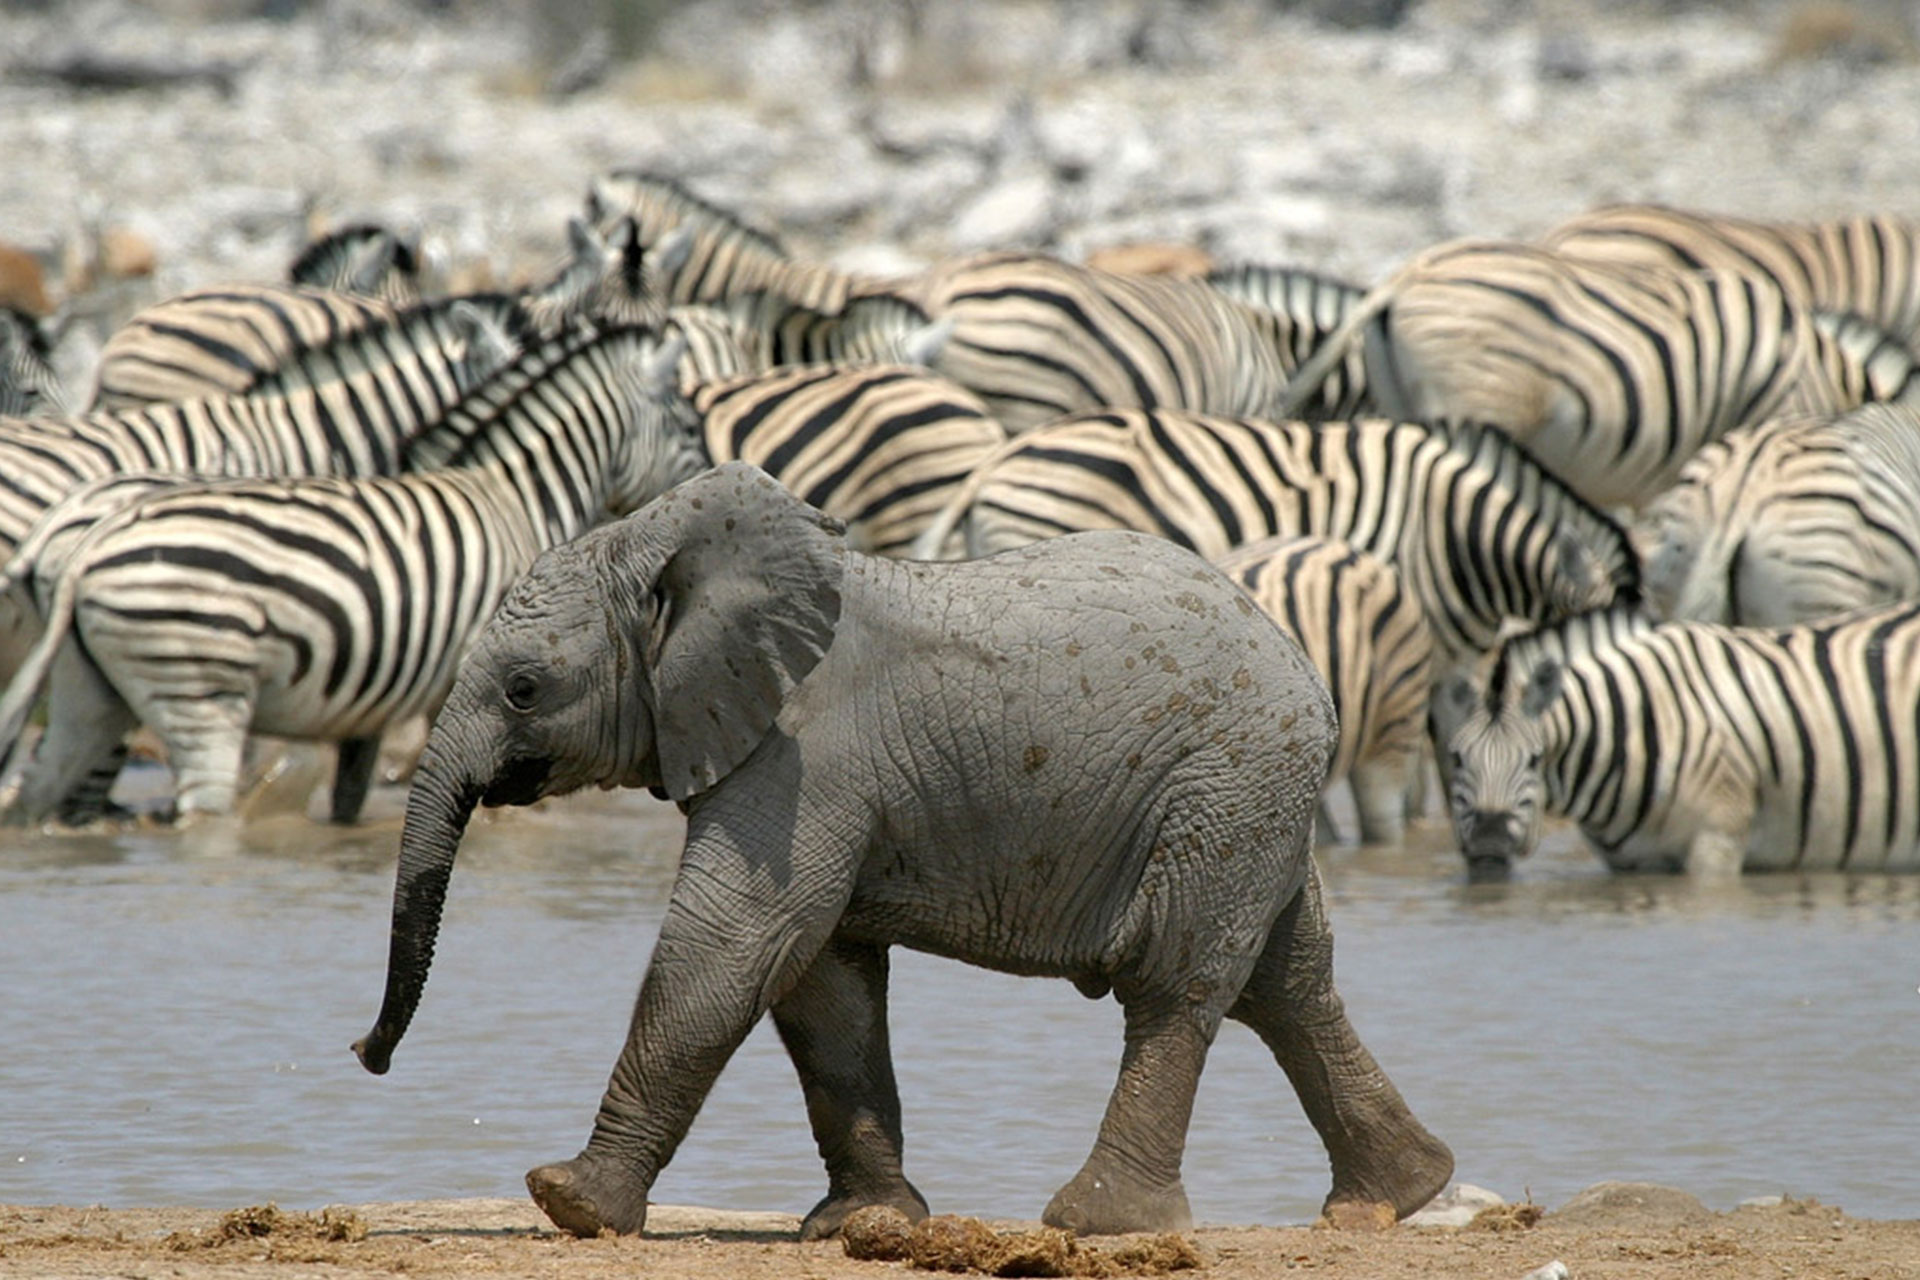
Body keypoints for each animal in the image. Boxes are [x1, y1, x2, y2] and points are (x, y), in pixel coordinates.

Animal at [0, 321, 698, 825]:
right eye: (688, 425)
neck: (516, 493)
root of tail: (89, 544)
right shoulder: (488, 678)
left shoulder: (372, 705)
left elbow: (349, 801)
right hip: (198, 682)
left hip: (89, 688)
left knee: (38, 794)